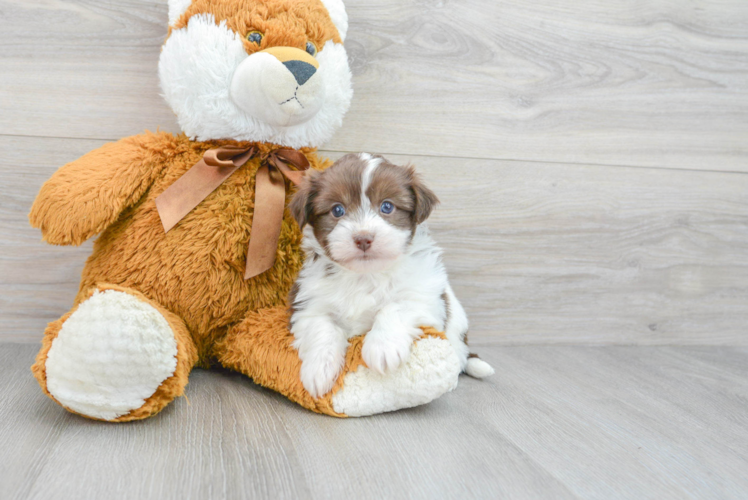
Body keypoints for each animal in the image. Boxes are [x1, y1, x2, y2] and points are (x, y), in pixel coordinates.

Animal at [290, 152, 494, 398]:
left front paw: (382, 347)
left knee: (460, 355)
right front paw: (319, 368)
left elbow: (394, 306)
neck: (365, 275)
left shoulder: (423, 294)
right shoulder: (308, 304)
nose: (363, 238)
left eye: (387, 206)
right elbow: (321, 326)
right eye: (337, 210)